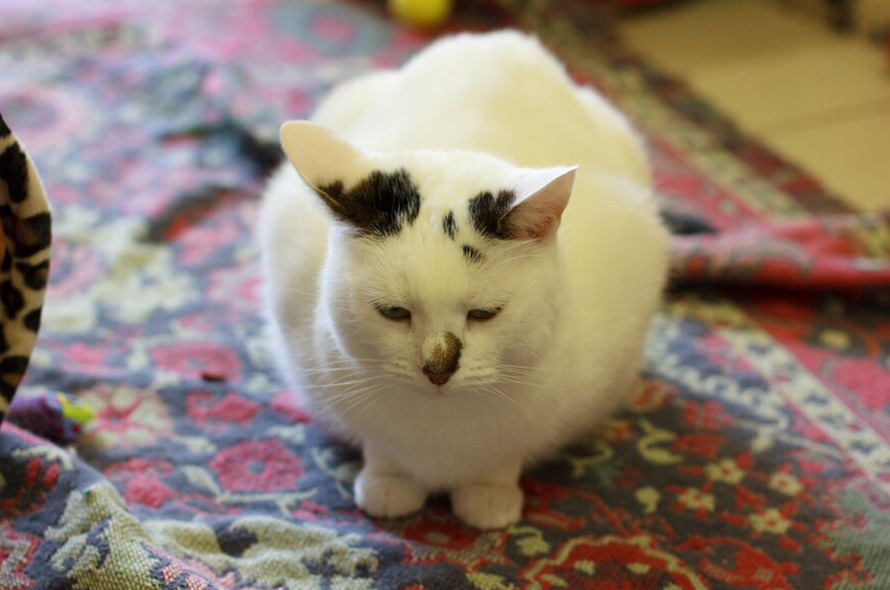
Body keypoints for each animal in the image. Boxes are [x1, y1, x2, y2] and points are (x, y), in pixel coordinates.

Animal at [256, 30, 664, 532]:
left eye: (484, 314)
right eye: (394, 312)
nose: (438, 369)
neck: (442, 430)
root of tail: (500, 39)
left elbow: (501, 459)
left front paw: (489, 498)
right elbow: (383, 448)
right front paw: (389, 485)